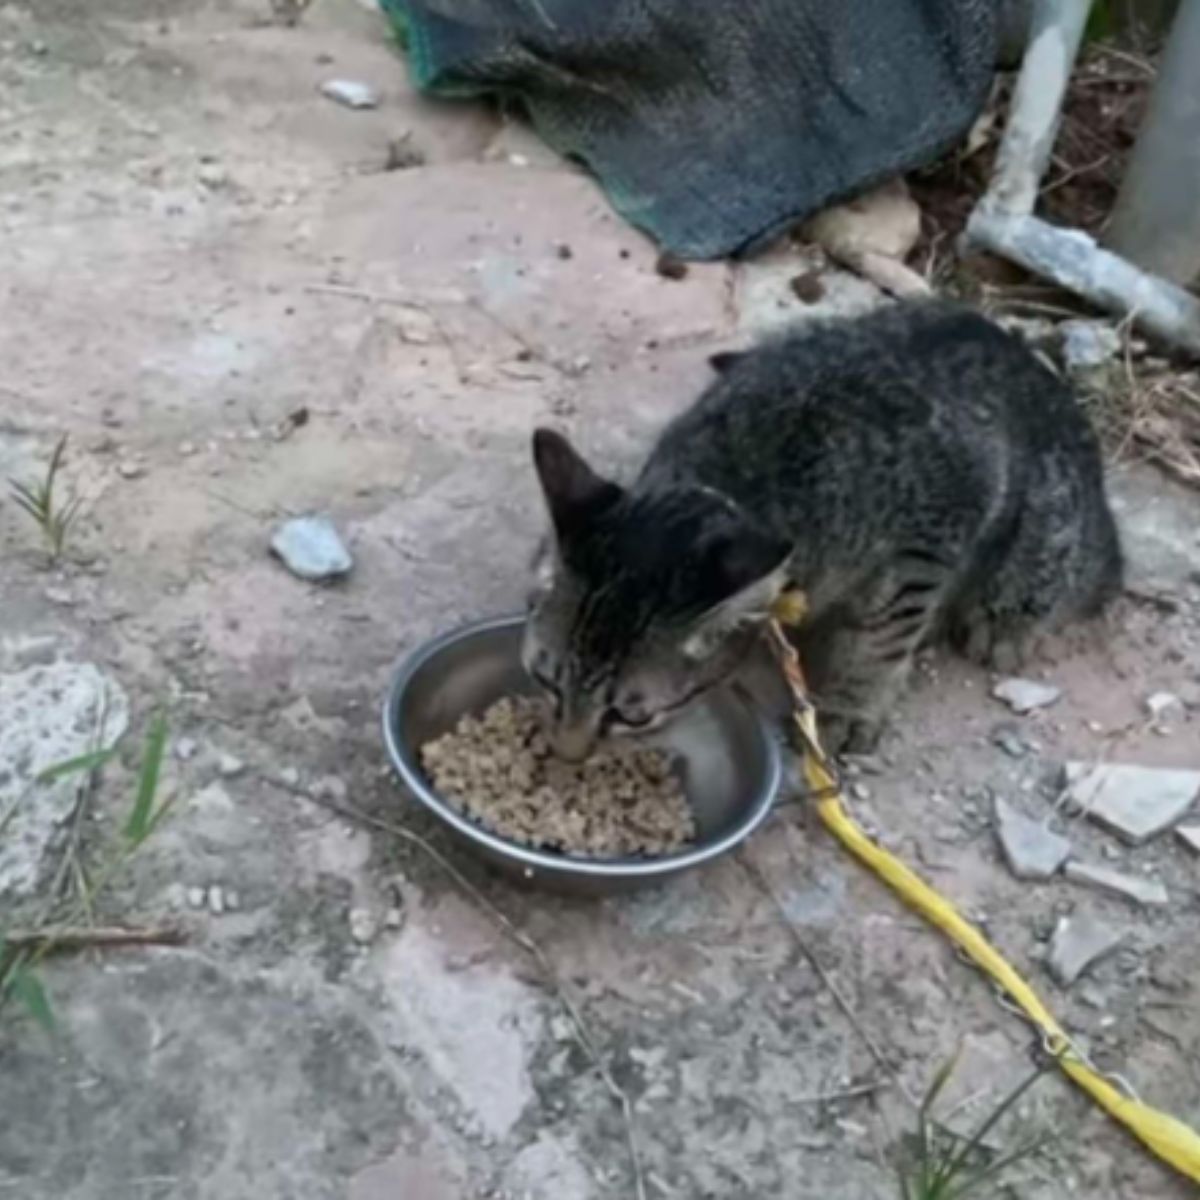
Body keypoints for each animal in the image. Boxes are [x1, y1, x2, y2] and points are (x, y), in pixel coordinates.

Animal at [520, 304, 1118, 763]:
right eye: (546, 682)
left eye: (629, 715)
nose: (567, 755)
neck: (734, 477)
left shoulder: (933, 534)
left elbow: (881, 638)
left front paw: (850, 708)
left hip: (1048, 528)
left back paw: (1008, 621)